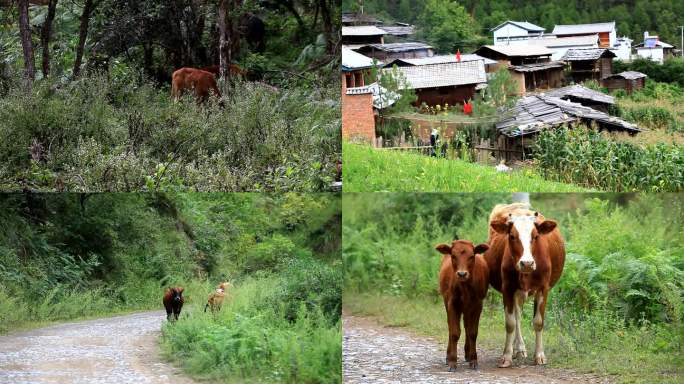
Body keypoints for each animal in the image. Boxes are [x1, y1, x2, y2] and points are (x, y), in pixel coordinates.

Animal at [438, 238, 492, 370]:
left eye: (472, 256)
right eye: (453, 255)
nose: (462, 274)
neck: (465, 288)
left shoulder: (478, 304)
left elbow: (472, 332)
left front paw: (473, 359)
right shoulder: (452, 303)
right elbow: (454, 332)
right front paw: (452, 361)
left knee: (467, 326)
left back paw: (467, 354)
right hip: (448, 302)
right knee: (451, 327)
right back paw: (448, 355)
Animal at [480, 204, 568, 368]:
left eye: (536, 236)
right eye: (512, 236)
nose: (526, 263)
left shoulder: (543, 288)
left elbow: (538, 322)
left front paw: (539, 355)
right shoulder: (508, 288)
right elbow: (510, 323)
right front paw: (506, 356)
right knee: (518, 316)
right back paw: (519, 348)